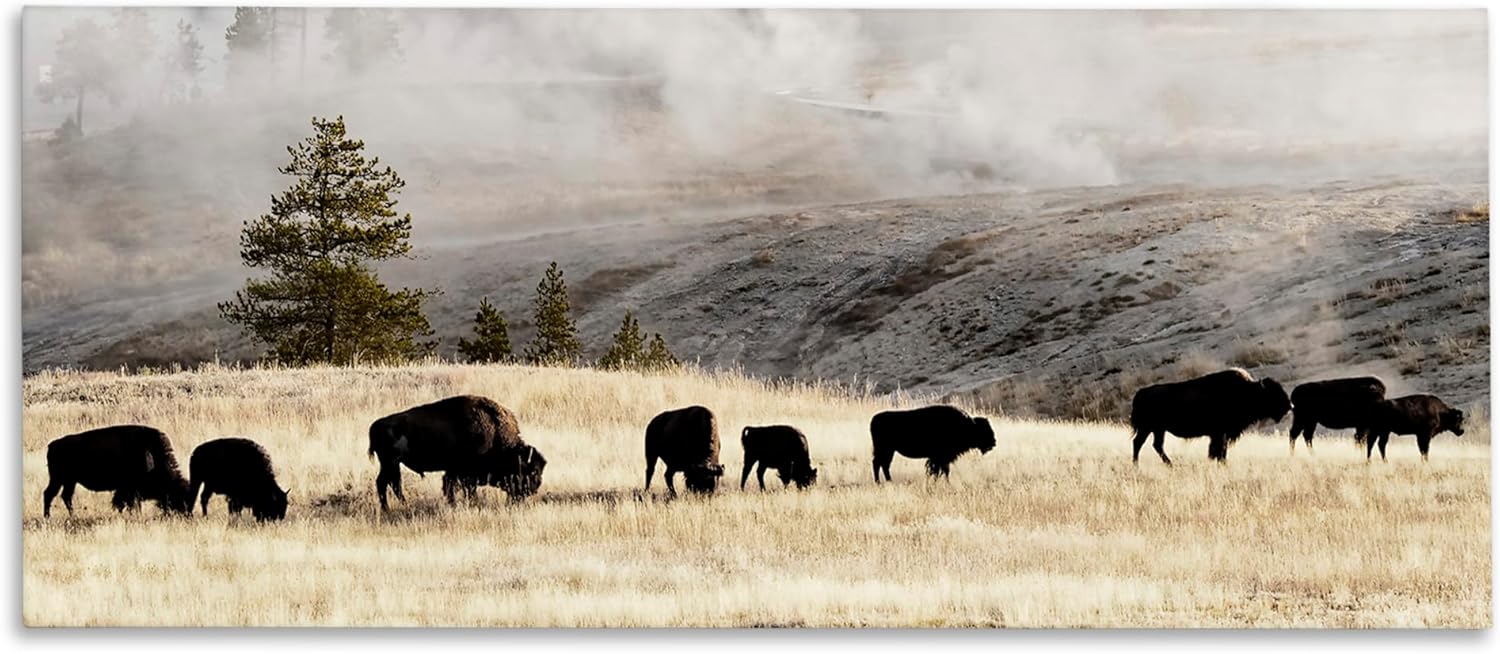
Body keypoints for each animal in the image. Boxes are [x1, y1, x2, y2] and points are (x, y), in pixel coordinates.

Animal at [42, 425, 193, 517]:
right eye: (176, 495)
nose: (185, 514)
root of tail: (52, 445)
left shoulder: (127, 490)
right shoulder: (129, 489)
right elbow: (128, 504)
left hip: (70, 481)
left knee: (65, 496)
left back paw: (73, 515)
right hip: (58, 479)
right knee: (49, 494)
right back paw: (48, 517)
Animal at [367, 395, 546, 511]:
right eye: (532, 471)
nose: (534, 489)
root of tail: (376, 425)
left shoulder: (453, 471)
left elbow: (450, 487)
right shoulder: (465, 474)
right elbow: (464, 490)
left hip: (391, 464)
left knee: (390, 483)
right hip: (390, 463)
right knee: (387, 483)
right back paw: (391, 508)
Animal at [1130, 368, 1291, 464]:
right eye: (1273, 393)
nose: (1289, 406)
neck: (1247, 391)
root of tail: (1141, 393)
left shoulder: (1219, 434)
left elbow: (1218, 450)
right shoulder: (1220, 434)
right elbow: (1219, 450)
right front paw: (1222, 463)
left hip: (1158, 430)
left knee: (1155, 445)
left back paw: (1169, 465)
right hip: (1148, 428)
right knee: (1139, 443)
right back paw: (1138, 465)